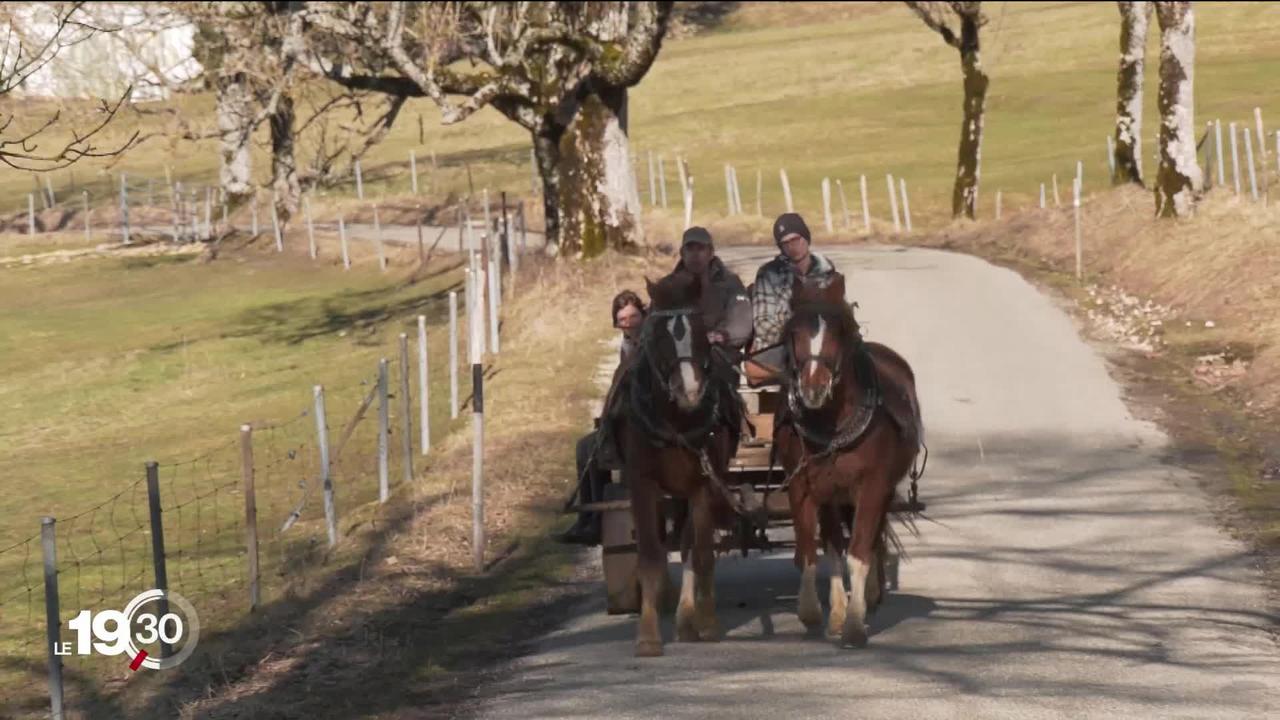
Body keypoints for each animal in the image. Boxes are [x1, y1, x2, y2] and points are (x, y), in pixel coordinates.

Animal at [614, 269, 747, 655]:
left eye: (702, 331)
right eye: (659, 337)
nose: (690, 391)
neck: (676, 420)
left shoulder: (704, 482)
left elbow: (701, 554)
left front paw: (707, 623)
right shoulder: (641, 483)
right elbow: (650, 556)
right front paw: (647, 636)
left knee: (690, 546)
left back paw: (689, 619)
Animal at [768, 271, 921, 648]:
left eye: (838, 332)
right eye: (794, 332)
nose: (813, 389)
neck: (832, 424)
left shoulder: (872, 487)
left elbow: (859, 551)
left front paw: (854, 623)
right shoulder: (803, 487)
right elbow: (814, 549)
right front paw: (817, 613)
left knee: (872, 538)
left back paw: (870, 597)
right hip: (832, 496)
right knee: (834, 542)